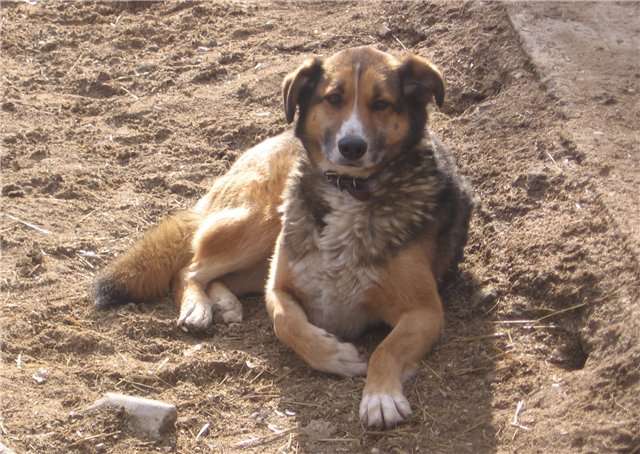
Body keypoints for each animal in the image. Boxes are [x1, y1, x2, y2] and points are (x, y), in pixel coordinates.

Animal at [95, 47, 476, 430]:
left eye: (381, 103)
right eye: (334, 98)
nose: (352, 146)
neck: (349, 190)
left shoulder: (425, 312)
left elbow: (387, 348)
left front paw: (379, 397)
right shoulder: (279, 288)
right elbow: (285, 323)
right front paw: (334, 356)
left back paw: (224, 302)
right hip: (260, 222)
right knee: (188, 268)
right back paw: (198, 307)